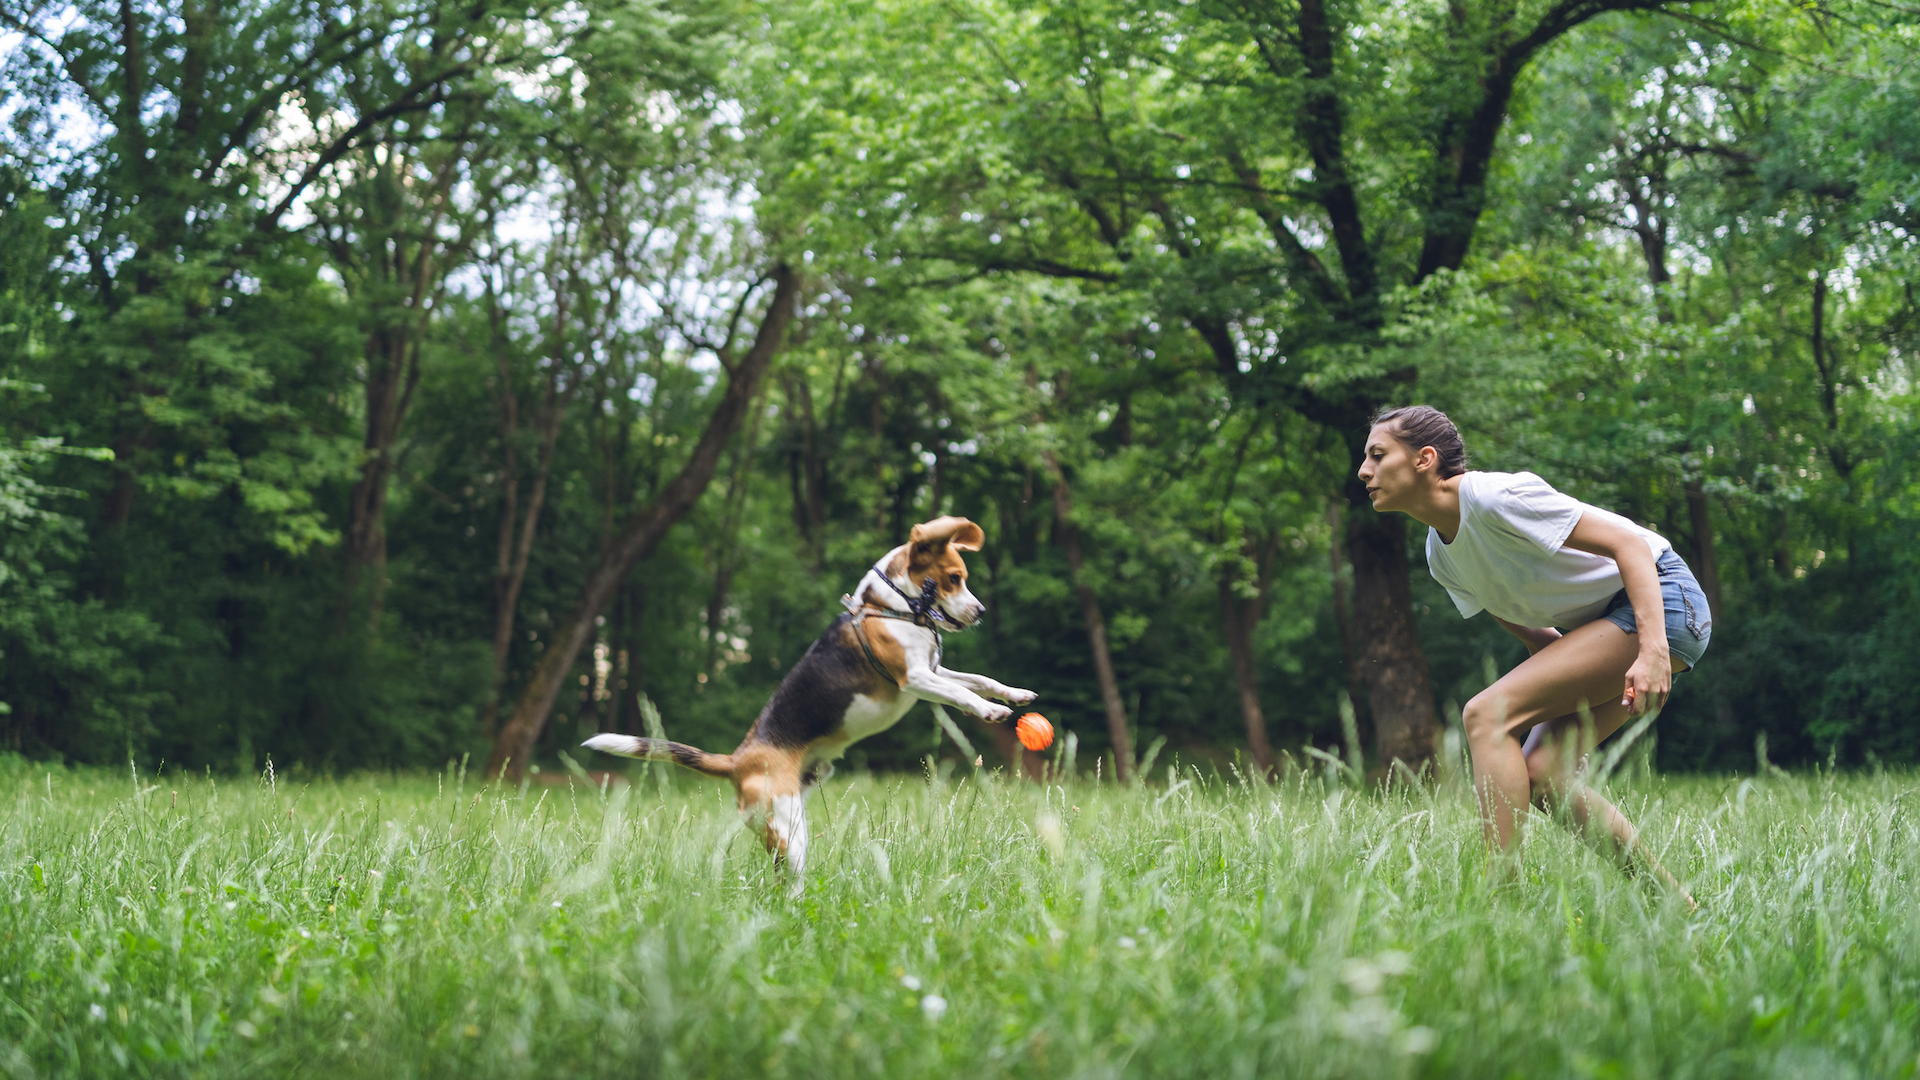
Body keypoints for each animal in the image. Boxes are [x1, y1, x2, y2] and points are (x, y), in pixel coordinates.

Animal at [579, 511, 1036, 876]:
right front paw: (989, 711)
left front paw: (1013, 694)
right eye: (954, 578)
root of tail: (738, 760)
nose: (980, 611)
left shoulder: (935, 668)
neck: (891, 606)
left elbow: (977, 679)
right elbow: (960, 693)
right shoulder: (916, 678)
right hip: (787, 828)